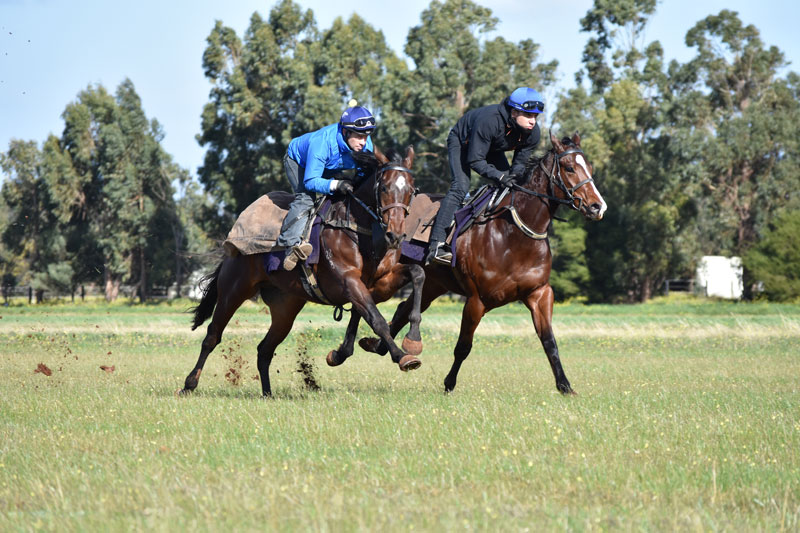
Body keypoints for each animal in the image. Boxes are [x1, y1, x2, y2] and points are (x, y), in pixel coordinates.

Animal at [181, 145, 424, 394]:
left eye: (411, 191)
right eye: (384, 187)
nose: (395, 236)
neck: (358, 230)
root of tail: (231, 247)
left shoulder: (379, 281)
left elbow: (416, 274)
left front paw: (413, 339)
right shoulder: (348, 281)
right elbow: (376, 319)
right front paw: (402, 356)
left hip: (285, 307)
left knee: (264, 349)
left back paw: (267, 393)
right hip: (233, 291)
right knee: (212, 336)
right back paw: (189, 384)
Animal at [344, 131, 608, 392]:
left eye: (590, 167)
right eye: (569, 167)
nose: (598, 206)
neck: (513, 235)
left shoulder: (539, 293)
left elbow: (549, 341)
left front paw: (565, 386)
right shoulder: (476, 300)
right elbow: (463, 346)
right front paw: (449, 385)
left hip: (432, 284)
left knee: (401, 309)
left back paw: (380, 346)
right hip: (384, 278)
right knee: (365, 301)